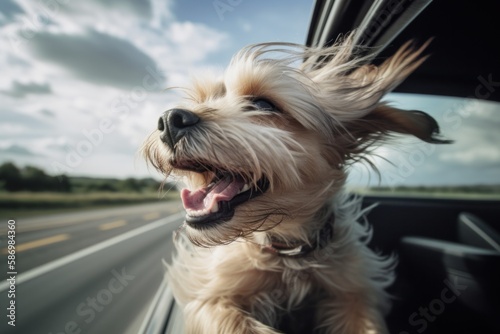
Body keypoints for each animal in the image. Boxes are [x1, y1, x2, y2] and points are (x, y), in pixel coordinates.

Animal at [142, 34, 450, 334]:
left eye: (263, 105)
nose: (169, 119)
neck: (287, 253)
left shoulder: (353, 292)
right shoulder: (211, 296)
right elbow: (231, 321)